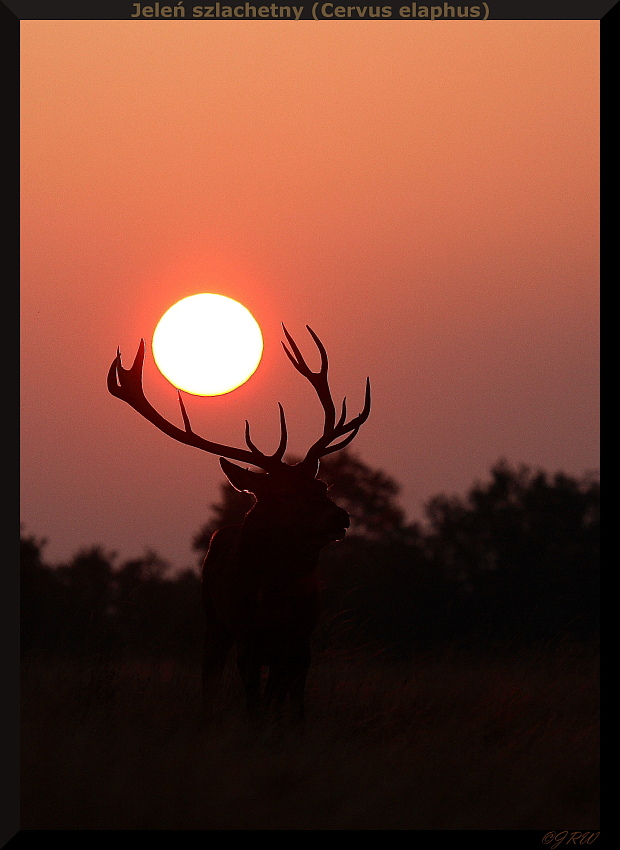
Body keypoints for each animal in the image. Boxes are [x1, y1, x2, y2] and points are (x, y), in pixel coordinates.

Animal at [107, 322, 370, 724]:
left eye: (322, 485)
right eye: (284, 494)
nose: (340, 516)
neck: (274, 602)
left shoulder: (299, 641)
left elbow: (289, 703)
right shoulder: (247, 638)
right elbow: (255, 704)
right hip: (213, 621)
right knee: (210, 678)